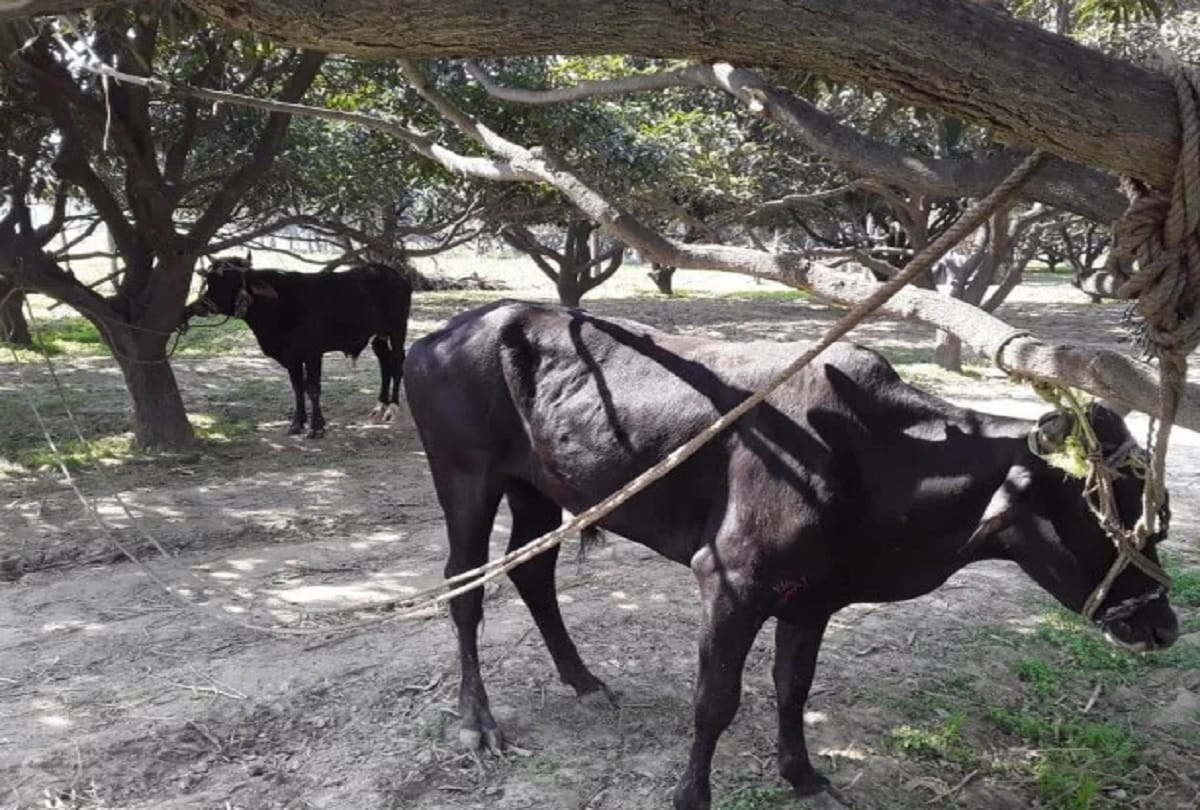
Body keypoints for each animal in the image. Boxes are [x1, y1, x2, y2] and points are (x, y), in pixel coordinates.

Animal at [185, 257, 412, 438]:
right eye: (210, 281)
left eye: (230, 282)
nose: (198, 306)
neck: (278, 305)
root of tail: (393, 273)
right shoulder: (291, 357)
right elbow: (297, 388)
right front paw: (297, 424)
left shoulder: (313, 353)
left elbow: (312, 388)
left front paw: (316, 427)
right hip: (378, 334)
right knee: (384, 360)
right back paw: (380, 405)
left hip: (397, 328)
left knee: (397, 361)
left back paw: (392, 407)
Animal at [402, 300, 1180, 810]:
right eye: (1110, 514)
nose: (1165, 625)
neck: (876, 458)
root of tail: (450, 329)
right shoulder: (729, 581)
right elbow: (715, 699)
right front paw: (691, 793)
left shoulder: (814, 595)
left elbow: (792, 687)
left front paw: (803, 775)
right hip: (466, 477)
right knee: (465, 586)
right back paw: (478, 721)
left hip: (538, 488)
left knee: (533, 570)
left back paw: (583, 679)